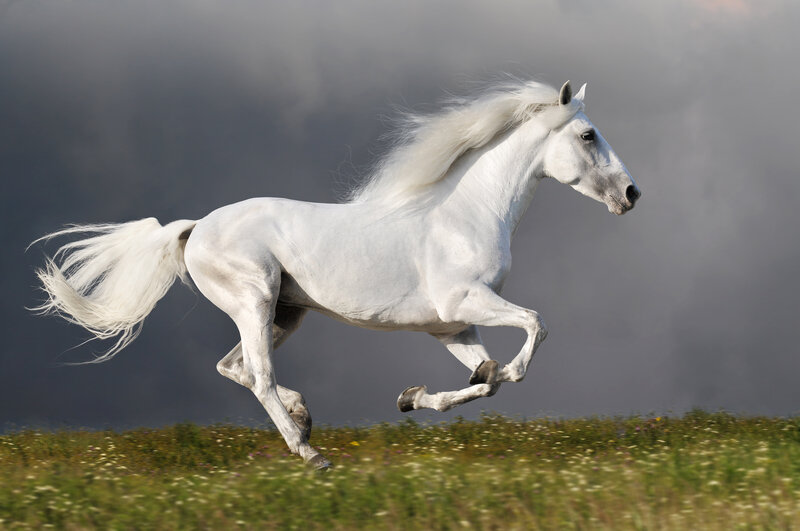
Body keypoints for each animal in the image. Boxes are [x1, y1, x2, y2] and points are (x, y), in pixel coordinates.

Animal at [32, 80, 640, 469]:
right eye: (588, 135)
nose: (632, 194)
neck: (464, 213)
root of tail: (196, 227)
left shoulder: (450, 326)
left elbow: (484, 380)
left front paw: (413, 398)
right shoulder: (465, 302)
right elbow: (533, 329)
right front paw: (495, 372)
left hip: (285, 314)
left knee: (236, 367)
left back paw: (303, 418)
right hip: (255, 301)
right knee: (257, 374)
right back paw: (310, 452)